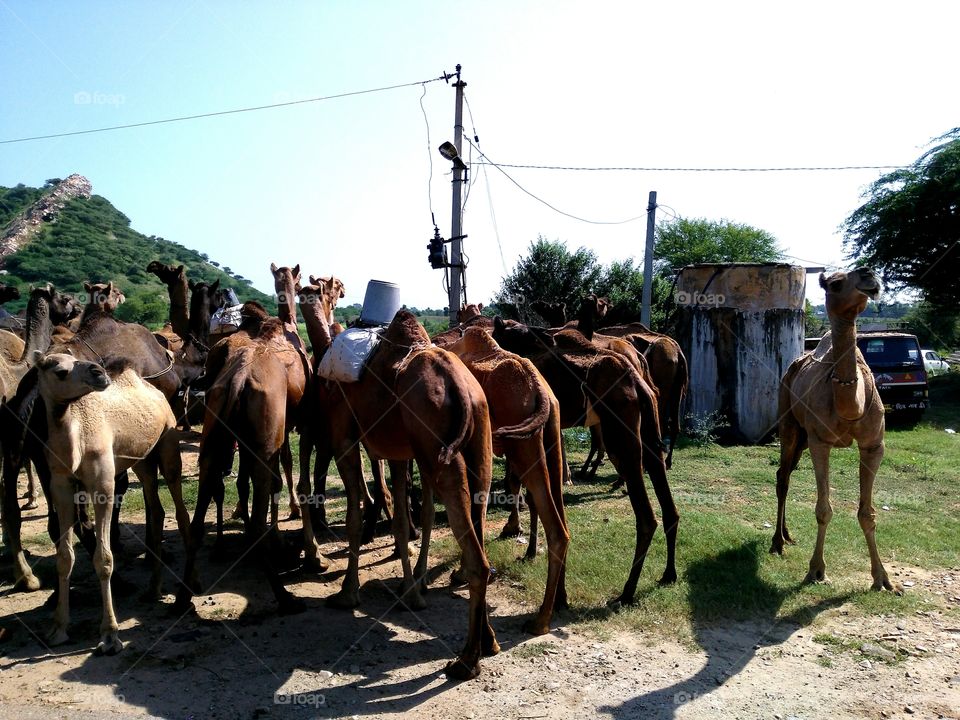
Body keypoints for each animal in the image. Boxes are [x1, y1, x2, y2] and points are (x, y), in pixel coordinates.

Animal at [34, 352, 188, 654]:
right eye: (60, 371)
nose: (98, 373)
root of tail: (156, 392)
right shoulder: (60, 486)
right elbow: (64, 556)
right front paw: (58, 628)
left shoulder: (103, 485)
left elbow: (103, 558)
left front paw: (109, 635)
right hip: (141, 461)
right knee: (157, 510)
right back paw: (153, 589)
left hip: (168, 442)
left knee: (180, 509)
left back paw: (188, 590)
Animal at [446, 326, 569, 635]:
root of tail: (541, 392)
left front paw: (461, 574)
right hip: (550, 435)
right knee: (561, 516)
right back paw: (560, 601)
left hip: (524, 444)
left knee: (556, 528)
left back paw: (539, 621)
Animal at [493, 317, 679, 604]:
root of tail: (640, 383)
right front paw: (529, 549)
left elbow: (521, 486)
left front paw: (517, 534)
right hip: (650, 429)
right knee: (670, 507)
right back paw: (669, 573)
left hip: (620, 434)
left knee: (647, 517)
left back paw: (627, 591)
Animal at [770, 268, 901, 593]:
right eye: (836, 283)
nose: (869, 274)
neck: (850, 405)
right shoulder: (821, 441)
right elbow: (823, 509)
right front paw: (816, 571)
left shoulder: (874, 445)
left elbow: (867, 513)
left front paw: (882, 579)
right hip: (790, 423)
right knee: (782, 476)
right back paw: (777, 543)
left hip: (802, 438)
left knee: (787, 472)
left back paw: (787, 535)